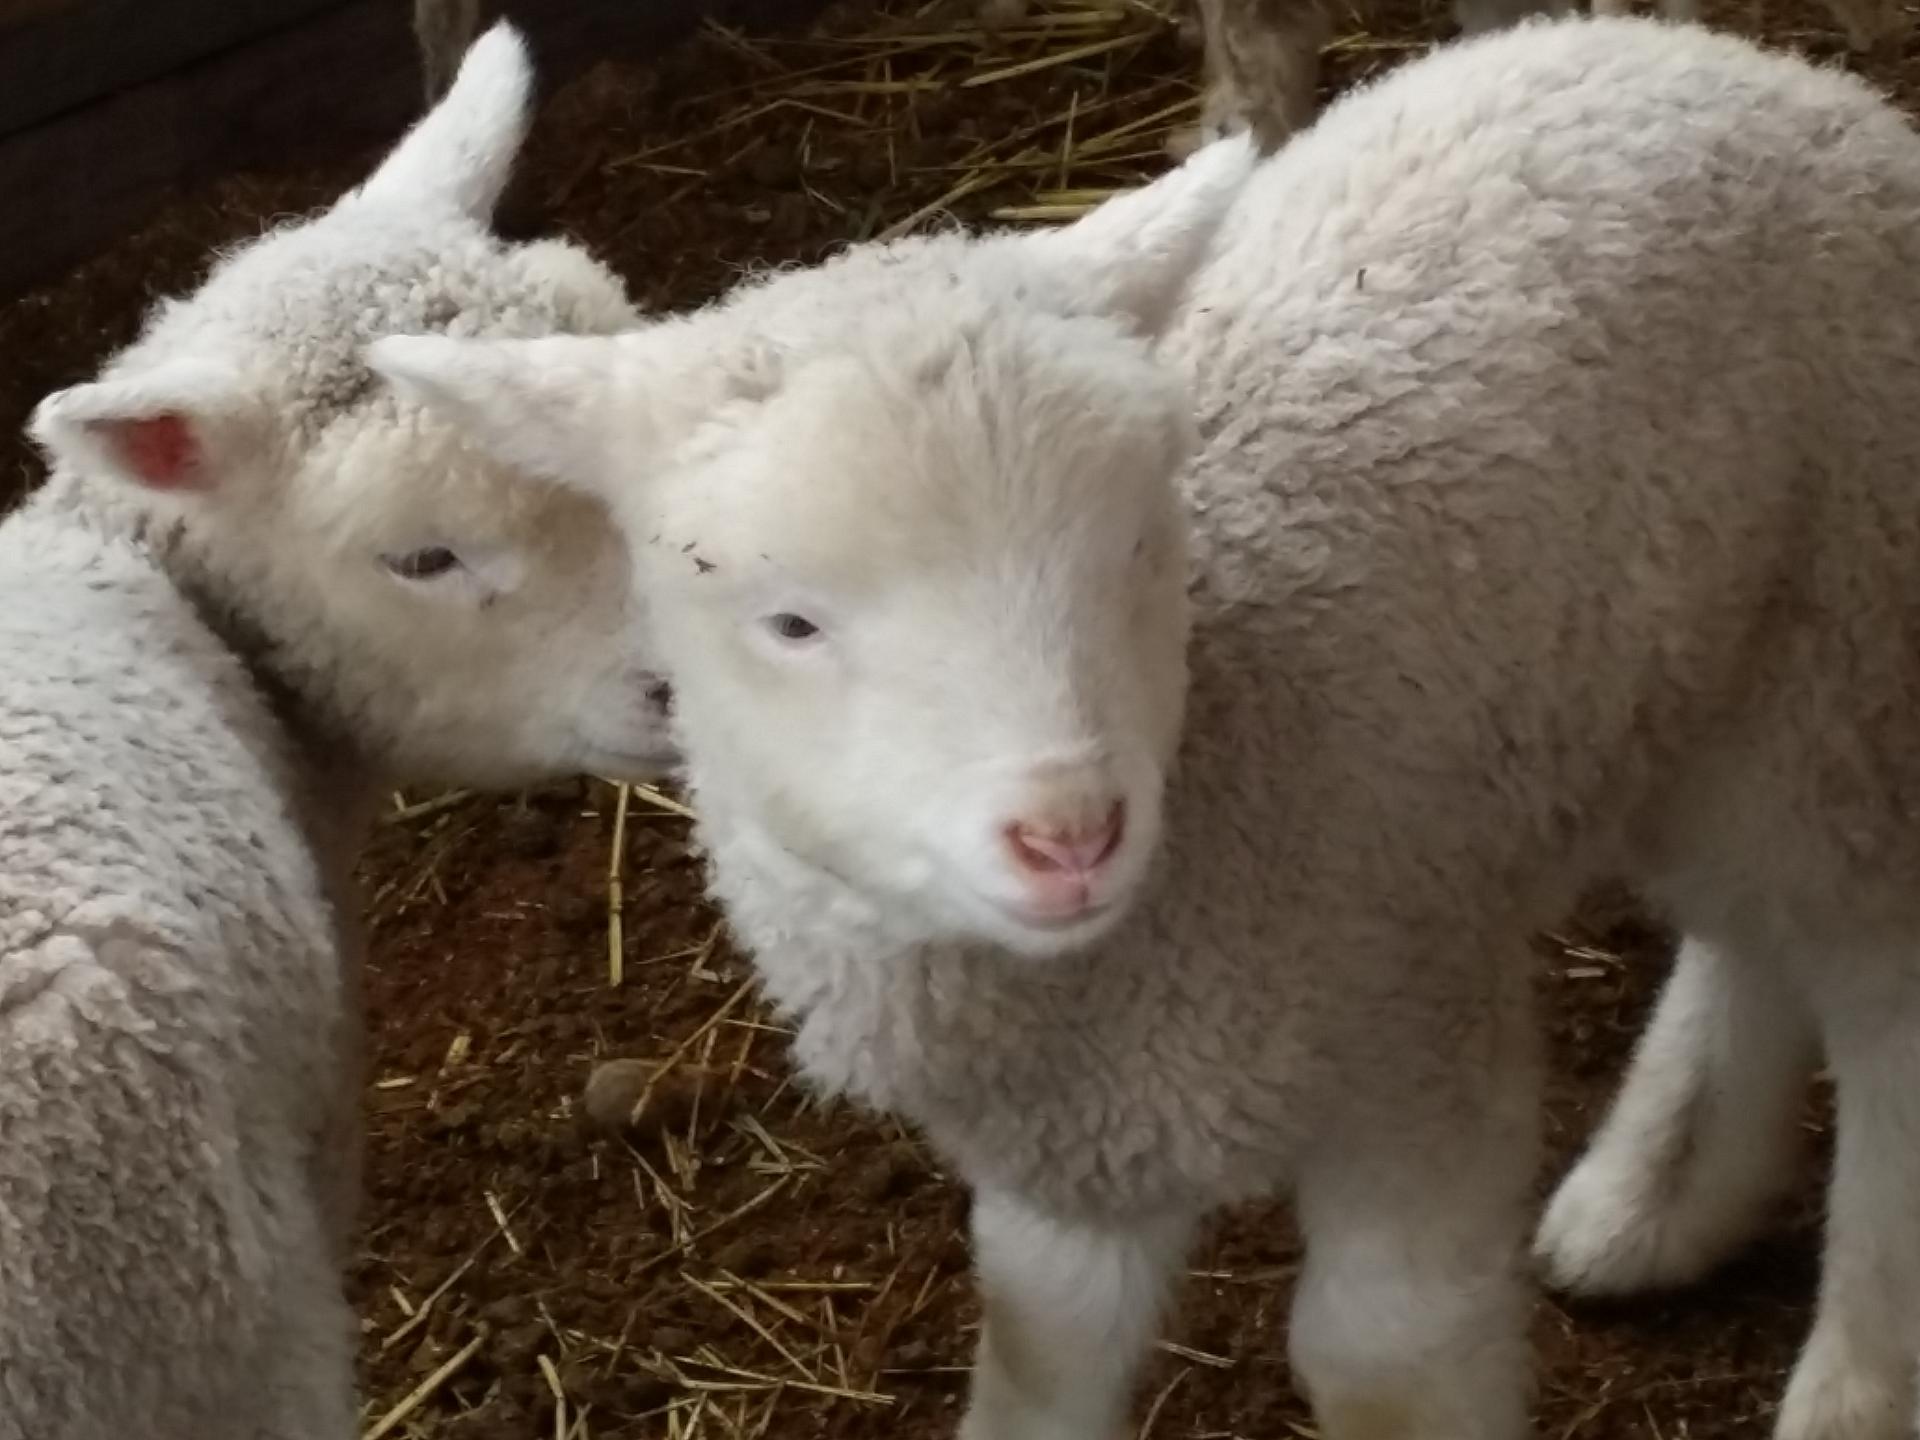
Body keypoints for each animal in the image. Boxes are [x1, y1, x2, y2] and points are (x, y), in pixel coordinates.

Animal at [369, 16, 1920, 1439]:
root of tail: (1727, 58)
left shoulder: (1414, 1040)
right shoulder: (1068, 1168)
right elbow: (1039, 1362)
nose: (1071, 835)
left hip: (1846, 650)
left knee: (1877, 990)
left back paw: (1848, 1381)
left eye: (1131, 544)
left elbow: (1380, 1363)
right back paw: (1651, 1200)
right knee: (1749, 930)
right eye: (791, 623)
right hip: (1721, 689)